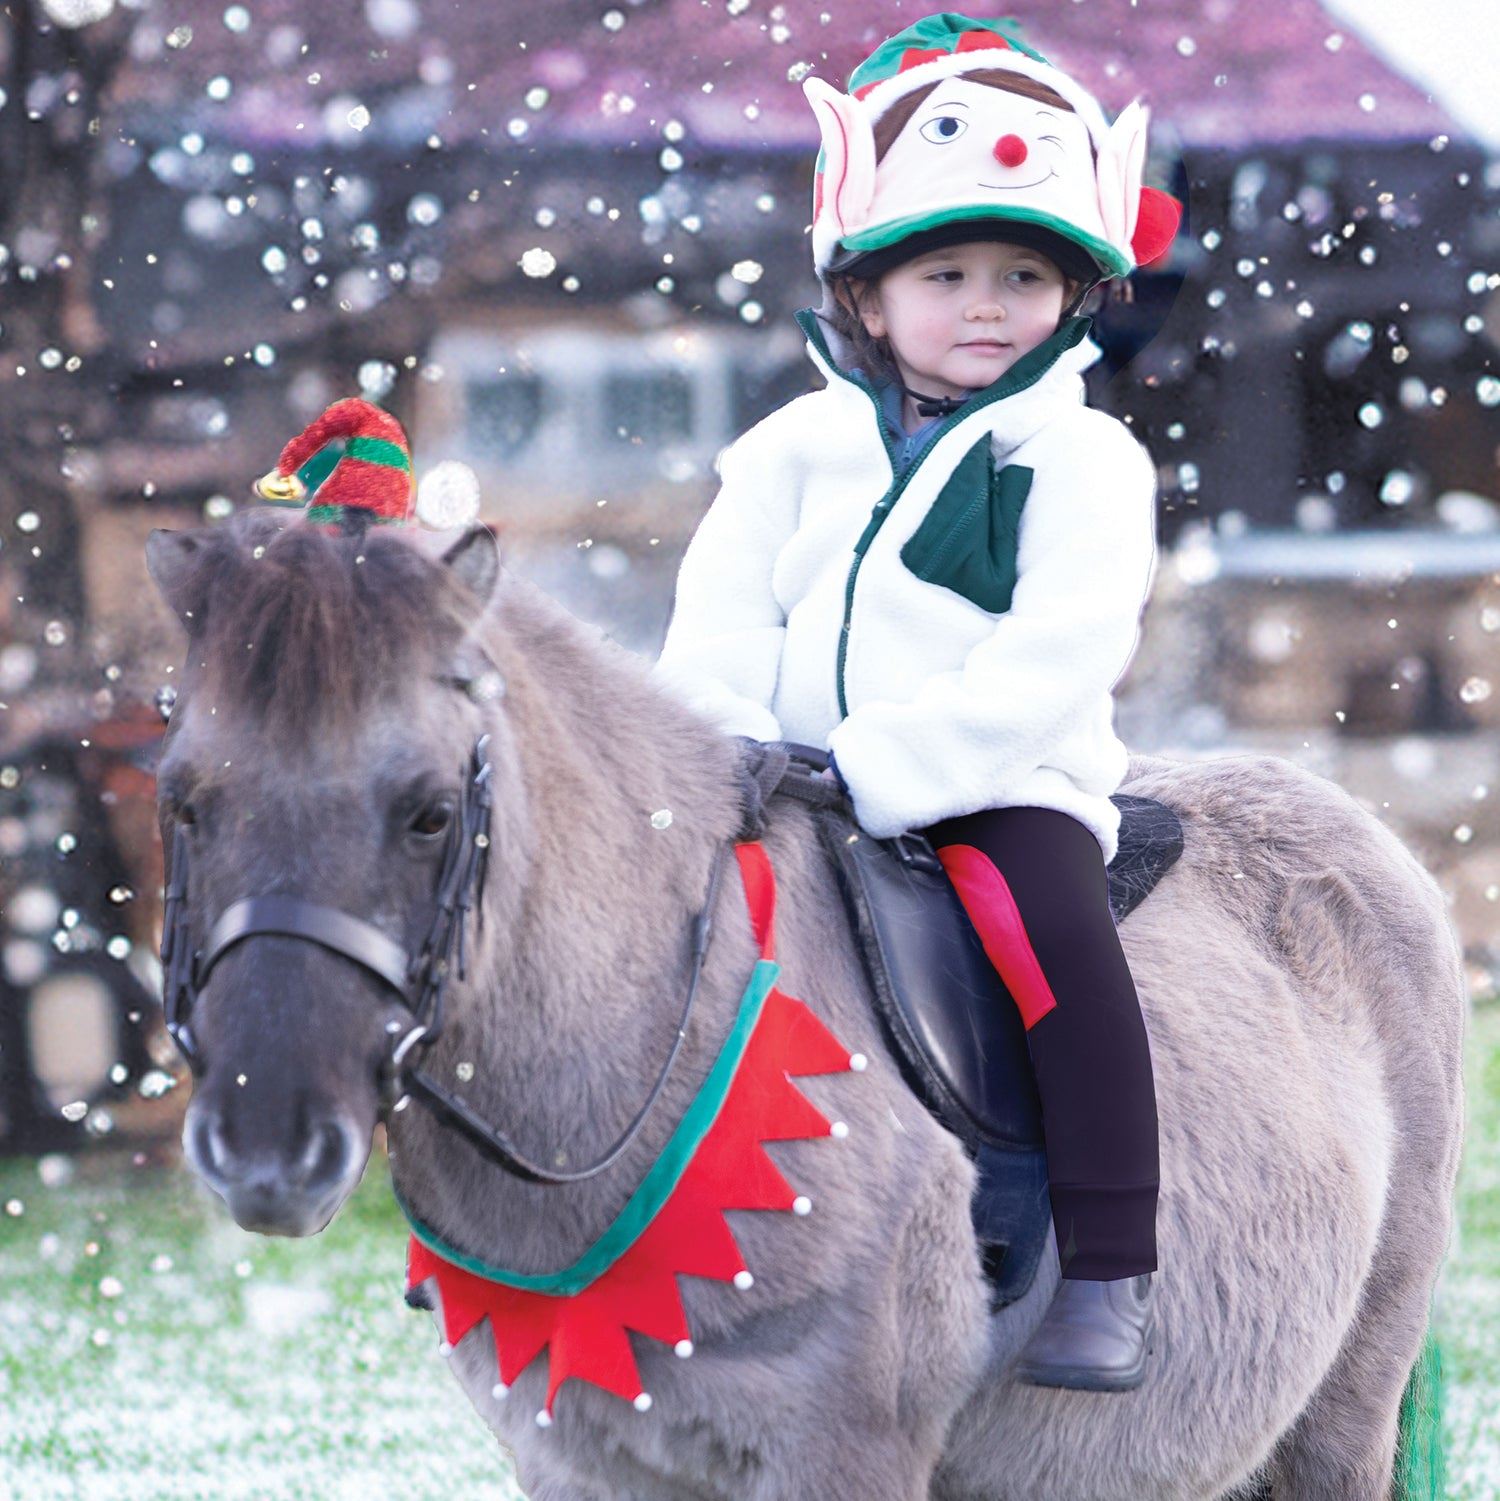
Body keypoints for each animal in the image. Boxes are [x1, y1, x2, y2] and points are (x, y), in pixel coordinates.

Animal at [145, 508, 1465, 1501]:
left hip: (1341, 1416)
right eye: (185, 799)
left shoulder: (840, 1456)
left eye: (427, 810)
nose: (267, 1150)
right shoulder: (582, 1467)